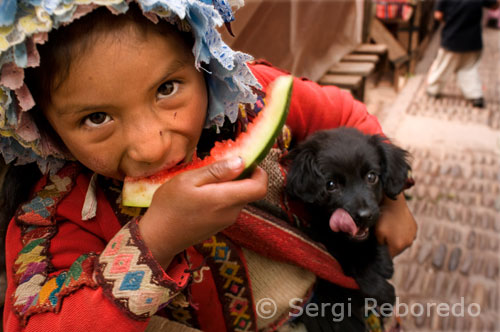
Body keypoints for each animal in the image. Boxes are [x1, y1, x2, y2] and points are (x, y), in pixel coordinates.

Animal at [284, 126, 412, 330]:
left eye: (371, 177)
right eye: (330, 185)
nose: (364, 215)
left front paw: (382, 260)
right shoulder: (322, 241)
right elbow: (353, 263)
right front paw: (384, 292)